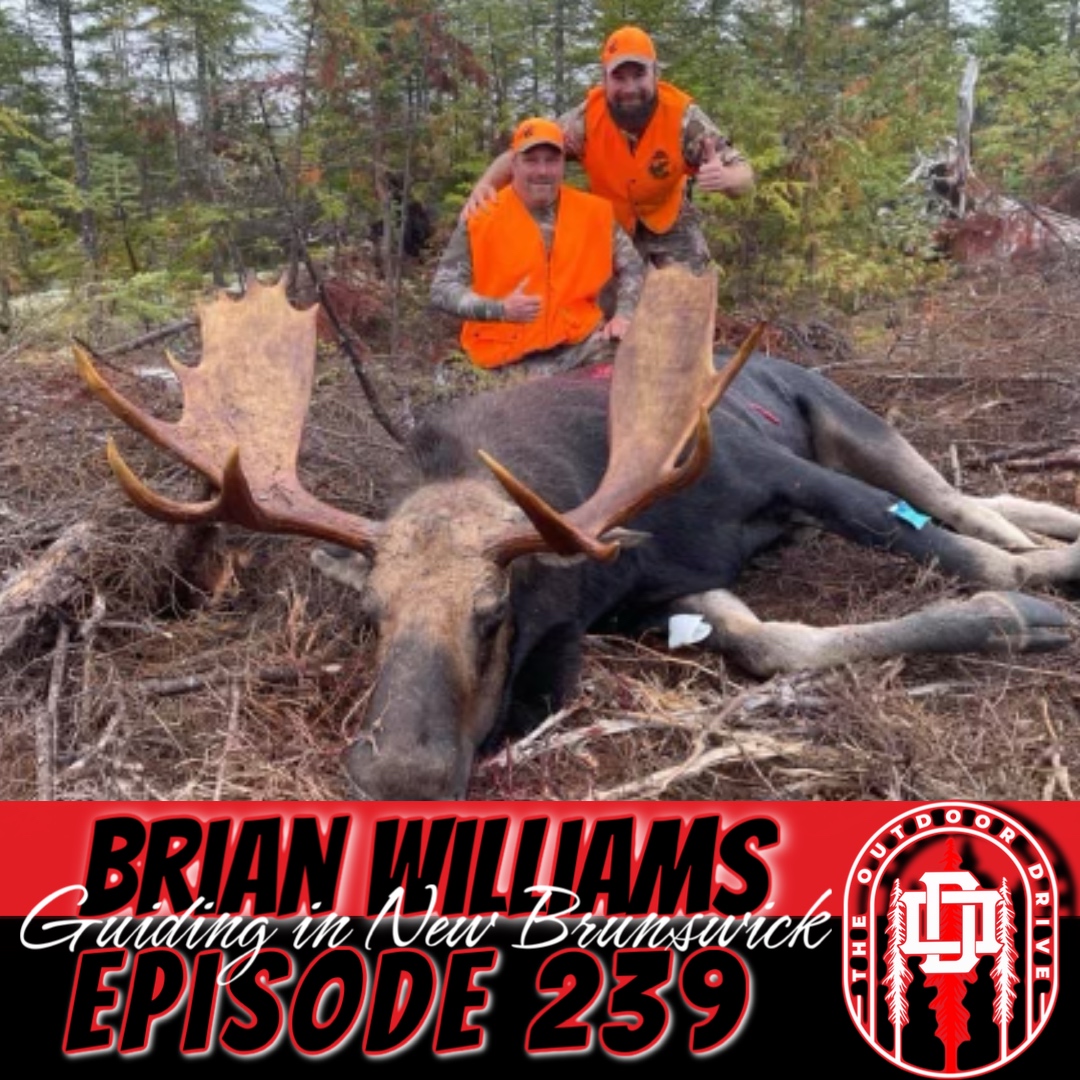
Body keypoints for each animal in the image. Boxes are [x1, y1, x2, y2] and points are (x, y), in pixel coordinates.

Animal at [75, 268, 1080, 800]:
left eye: (494, 613)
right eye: (370, 617)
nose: (396, 771)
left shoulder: (775, 474)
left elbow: (959, 551)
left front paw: (1028, 611)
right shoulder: (663, 585)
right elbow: (770, 644)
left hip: (845, 416)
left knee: (956, 499)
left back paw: (1052, 552)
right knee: (982, 489)